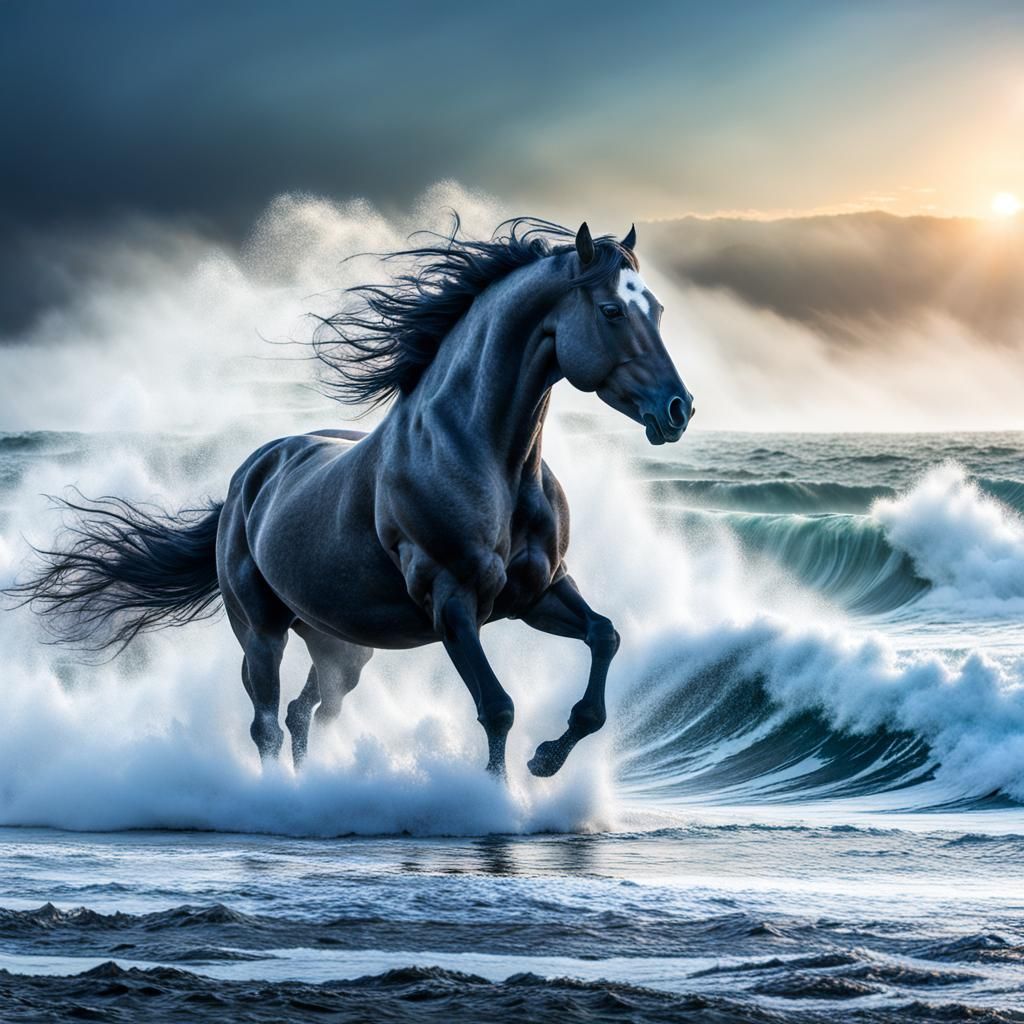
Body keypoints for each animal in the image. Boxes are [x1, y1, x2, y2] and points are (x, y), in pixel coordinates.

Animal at [12, 217, 694, 779]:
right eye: (611, 310)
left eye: (658, 308)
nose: (678, 409)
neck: (482, 457)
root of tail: (247, 479)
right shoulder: (453, 604)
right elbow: (497, 708)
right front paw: (503, 797)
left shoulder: (539, 592)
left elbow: (605, 640)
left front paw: (548, 758)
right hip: (261, 630)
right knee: (266, 720)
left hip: (341, 644)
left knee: (304, 712)